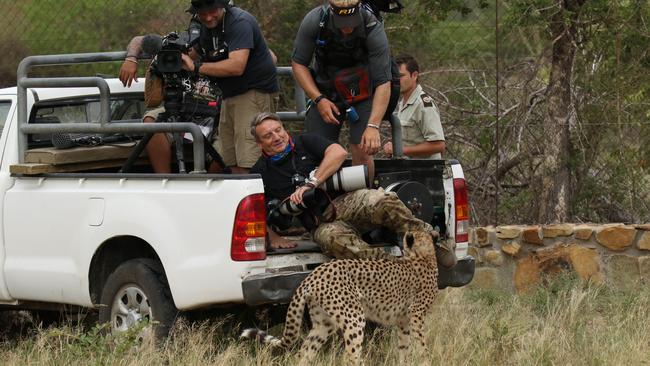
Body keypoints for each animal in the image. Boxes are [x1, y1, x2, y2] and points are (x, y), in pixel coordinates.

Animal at [239, 230, 446, 364]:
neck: (424, 254)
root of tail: (315, 273)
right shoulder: (416, 315)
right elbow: (422, 344)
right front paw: (426, 360)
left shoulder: (403, 320)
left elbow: (404, 347)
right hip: (354, 318)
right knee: (349, 357)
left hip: (323, 324)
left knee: (304, 352)